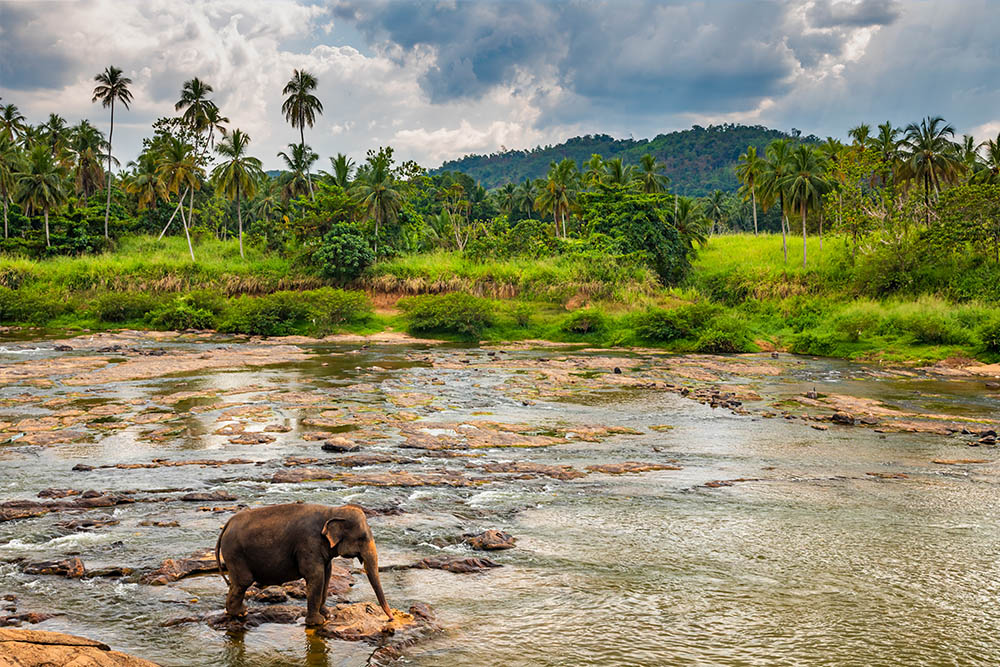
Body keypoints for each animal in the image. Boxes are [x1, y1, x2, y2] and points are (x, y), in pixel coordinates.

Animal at [215, 504, 390, 628]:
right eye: (362, 538)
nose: (390, 619)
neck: (332, 511)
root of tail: (227, 524)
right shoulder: (308, 544)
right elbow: (316, 576)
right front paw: (317, 622)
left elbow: (327, 574)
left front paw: (327, 615)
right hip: (235, 553)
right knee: (243, 581)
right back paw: (240, 613)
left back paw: (239, 612)